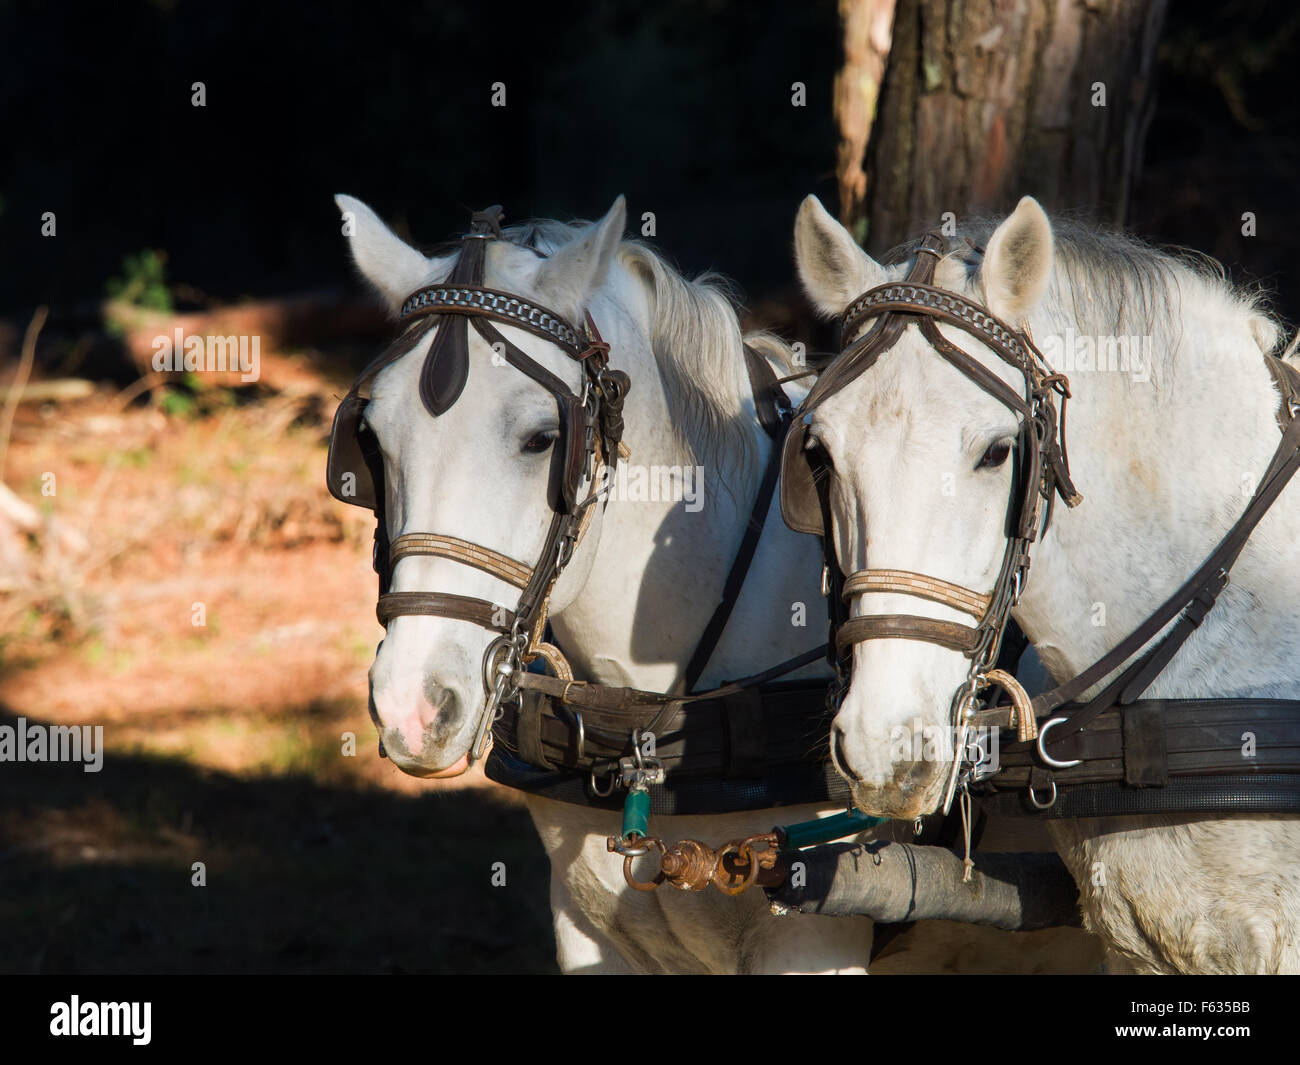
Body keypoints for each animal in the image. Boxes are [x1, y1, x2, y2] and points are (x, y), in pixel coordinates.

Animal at [331, 193, 1100, 973]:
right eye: (371, 441)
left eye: (542, 438)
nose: (414, 707)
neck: (652, 725)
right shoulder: (583, 925)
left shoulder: (811, 930)